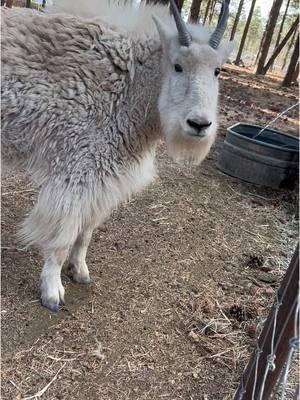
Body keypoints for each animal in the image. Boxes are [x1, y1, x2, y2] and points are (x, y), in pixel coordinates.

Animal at [1, 0, 234, 310]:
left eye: (218, 70)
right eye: (177, 66)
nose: (199, 124)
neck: (128, 84)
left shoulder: (102, 176)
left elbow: (86, 232)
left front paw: (80, 271)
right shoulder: (75, 172)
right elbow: (63, 237)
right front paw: (52, 291)